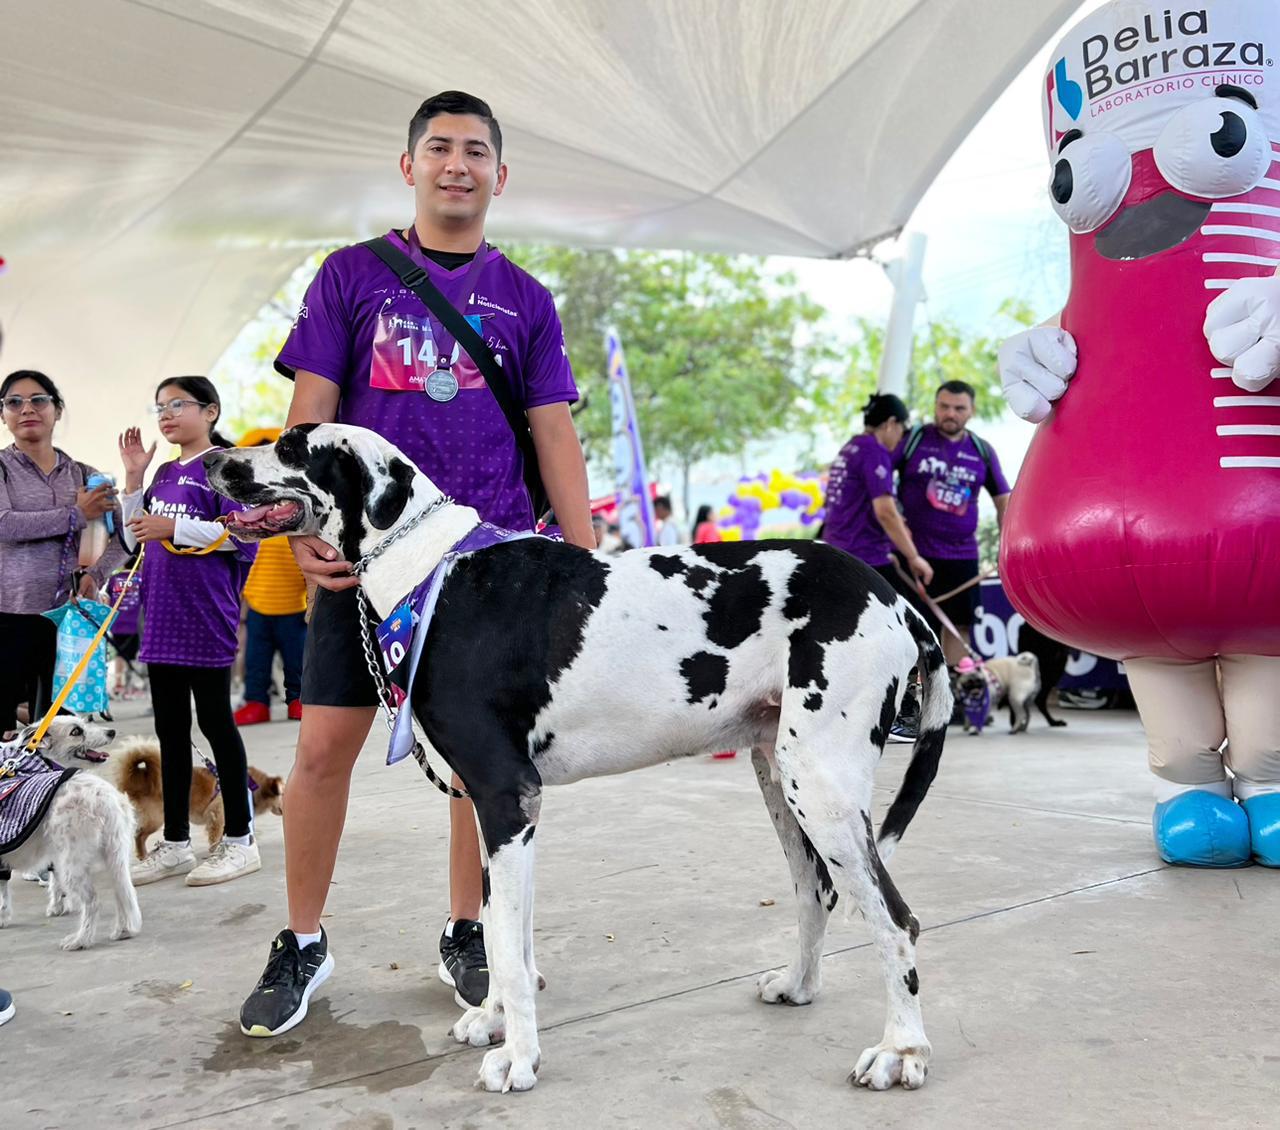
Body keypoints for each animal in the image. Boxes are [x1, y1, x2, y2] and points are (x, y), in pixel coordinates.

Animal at [0, 721, 141, 952]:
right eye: (76, 731)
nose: (111, 732)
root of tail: (106, 797)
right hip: (114, 856)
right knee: (124, 892)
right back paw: (124, 930)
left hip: (72, 864)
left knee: (93, 901)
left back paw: (80, 940)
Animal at [105, 732, 285, 854]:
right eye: (283, 794)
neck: (251, 784)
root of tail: (139, 778)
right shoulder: (216, 815)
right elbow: (216, 834)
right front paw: (215, 849)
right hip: (155, 818)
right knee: (139, 836)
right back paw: (143, 855)